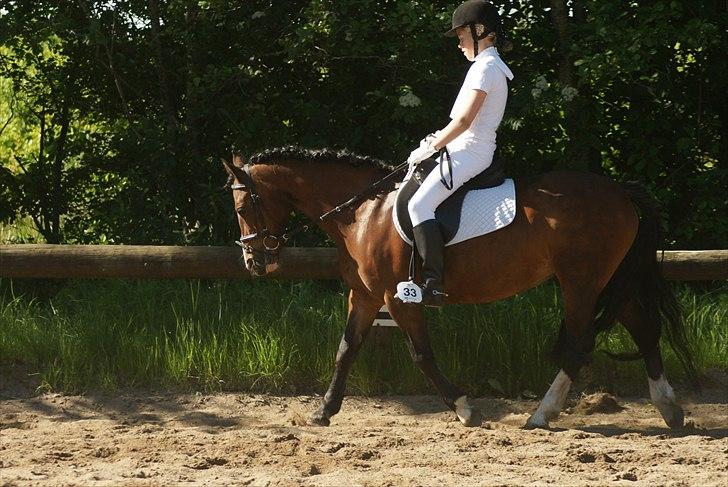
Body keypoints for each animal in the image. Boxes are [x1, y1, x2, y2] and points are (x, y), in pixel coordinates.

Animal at [223, 147, 700, 428]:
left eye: (243, 206)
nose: (253, 262)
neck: (361, 212)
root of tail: (620, 191)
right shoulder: (365, 295)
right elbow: (346, 349)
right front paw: (323, 411)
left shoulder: (398, 298)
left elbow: (421, 355)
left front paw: (465, 408)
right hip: (607, 279)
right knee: (643, 328)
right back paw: (669, 409)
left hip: (581, 281)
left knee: (581, 342)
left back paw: (541, 414)